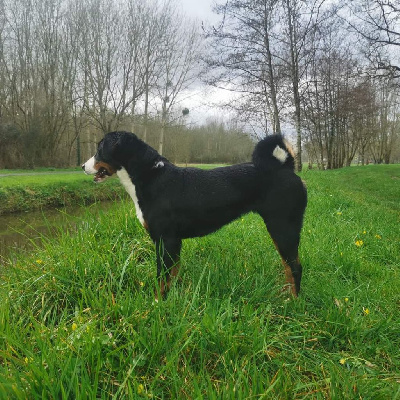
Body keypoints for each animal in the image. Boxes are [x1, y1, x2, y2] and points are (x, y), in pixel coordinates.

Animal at [80, 131, 306, 300]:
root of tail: (285, 167)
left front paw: (158, 302)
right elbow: (172, 273)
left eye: (100, 148)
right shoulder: (173, 242)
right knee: (288, 266)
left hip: (282, 228)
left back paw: (292, 301)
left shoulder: (165, 240)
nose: (82, 166)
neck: (149, 176)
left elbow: (162, 276)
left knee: (295, 266)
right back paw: (284, 294)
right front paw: (174, 297)